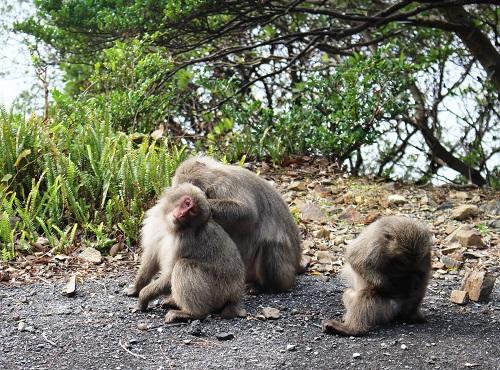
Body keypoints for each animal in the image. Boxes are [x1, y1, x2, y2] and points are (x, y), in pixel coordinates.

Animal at [126, 184, 245, 322]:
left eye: (193, 212)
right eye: (187, 203)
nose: (182, 214)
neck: (170, 227)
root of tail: (235, 294)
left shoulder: (184, 242)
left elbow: (169, 274)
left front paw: (143, 297)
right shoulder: (156, 223)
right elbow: (151, 259)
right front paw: (136, 288)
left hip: (220, 290)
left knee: (184, 266)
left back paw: (192, 313)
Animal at [173, 156, 300, 292]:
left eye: (191, 184)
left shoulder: (225, 185)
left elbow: (247, 212)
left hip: (284, 271)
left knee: (269, 244)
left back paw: (266, 287)